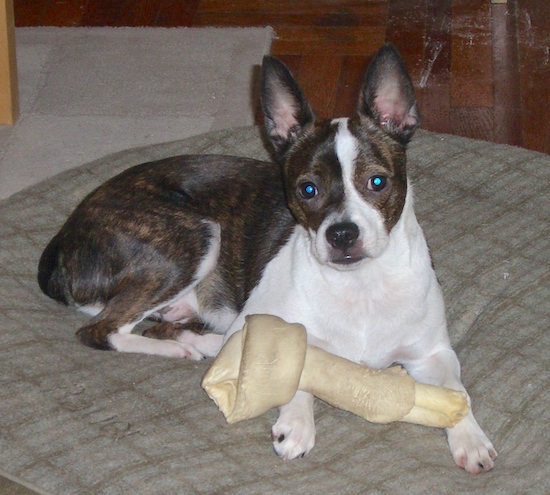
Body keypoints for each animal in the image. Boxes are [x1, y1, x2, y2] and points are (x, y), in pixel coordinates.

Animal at [40, 44, 500, 474]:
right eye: (307, 190)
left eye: (377, 182)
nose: (341, 233)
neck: (360, 284)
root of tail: (65, 235)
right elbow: (297, 366)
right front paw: (296, 422)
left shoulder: (433, 353)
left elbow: (456, 390)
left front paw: (471, 437)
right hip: (193, 237)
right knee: (102, 330)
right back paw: (190, 349)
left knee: (155, 326)